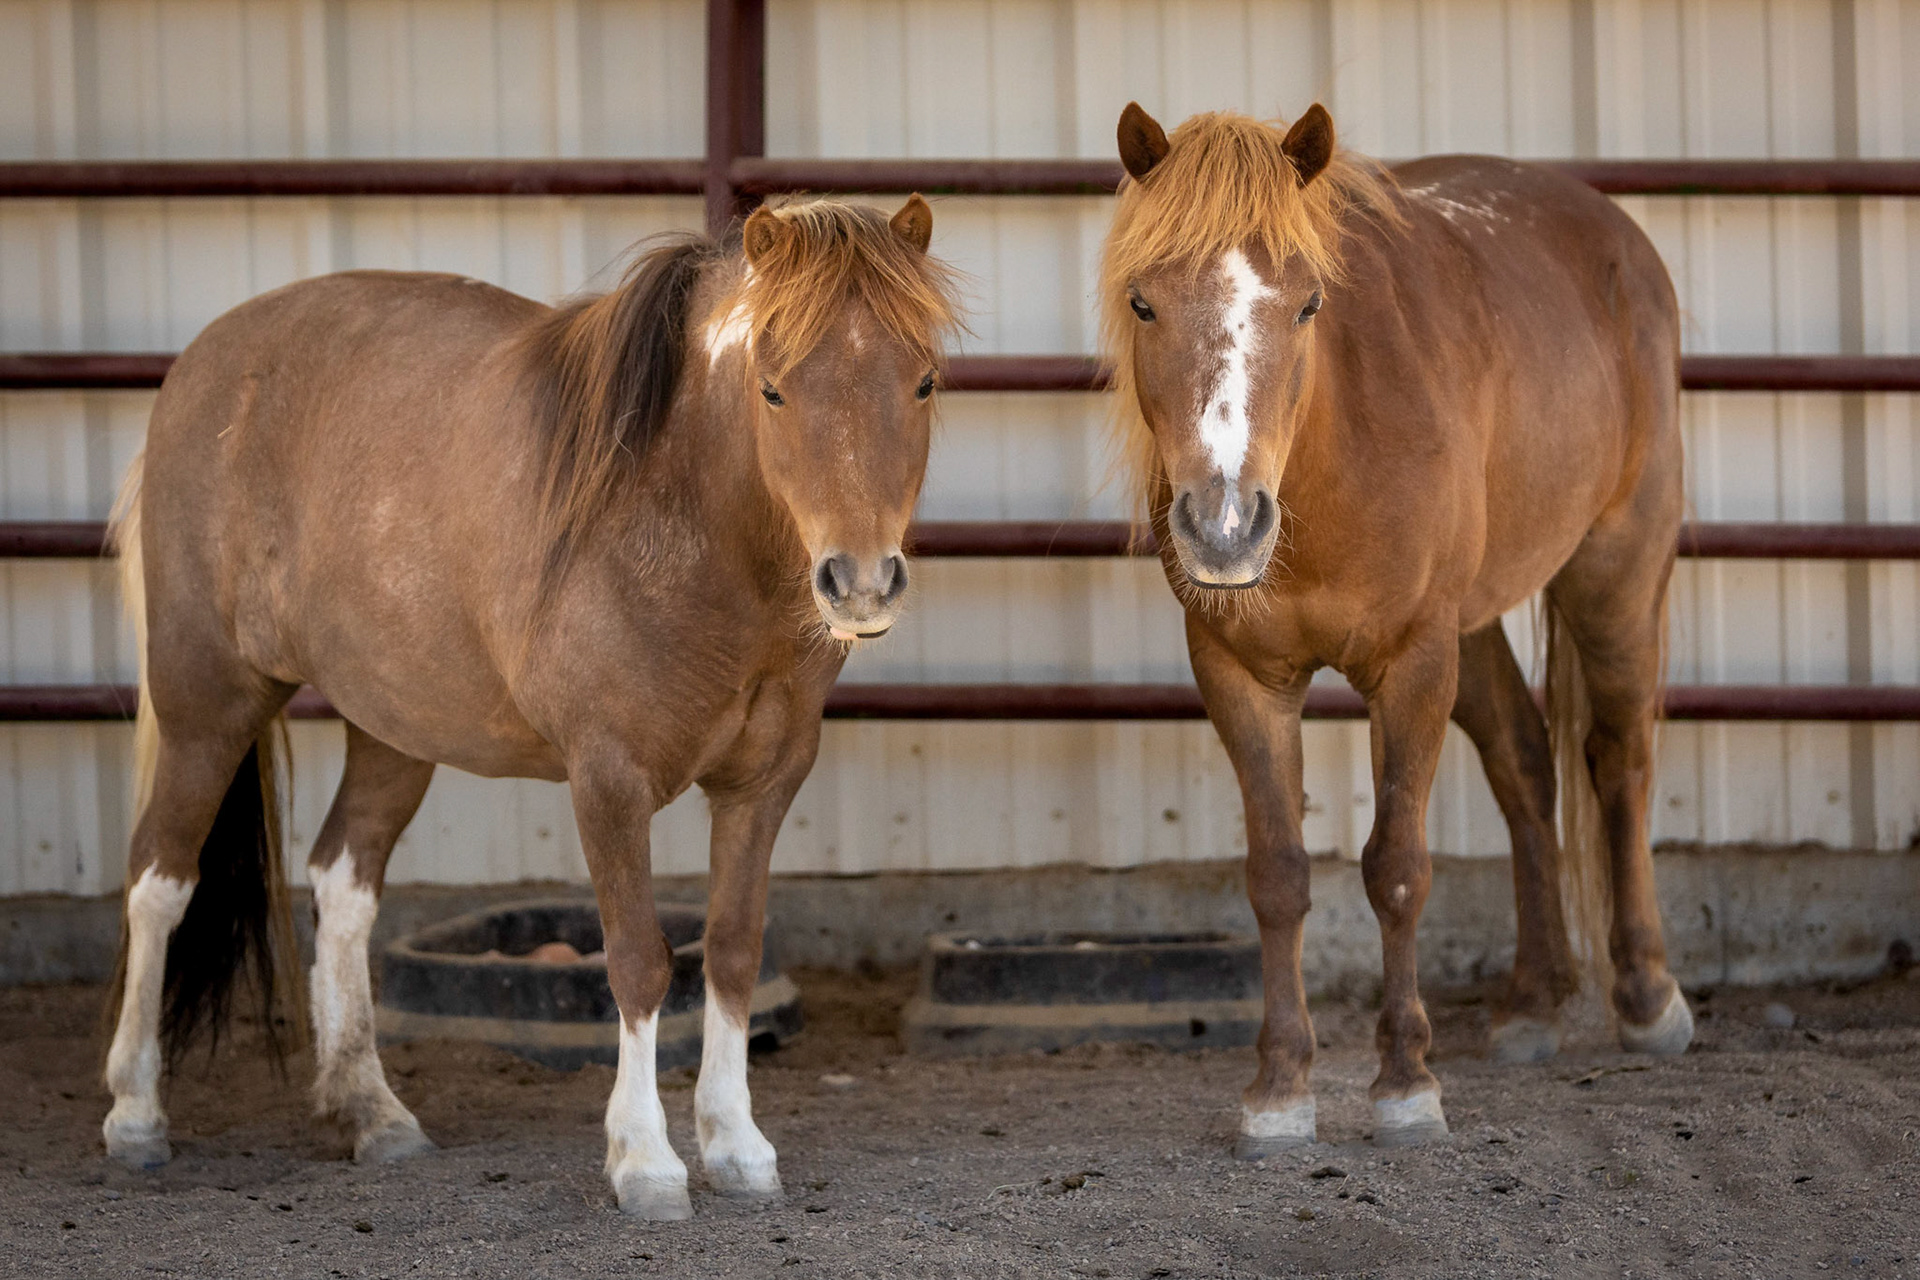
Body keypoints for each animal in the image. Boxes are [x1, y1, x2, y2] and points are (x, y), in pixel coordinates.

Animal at [99, 194, 959, 1219]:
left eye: (923, 382)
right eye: (774, 390)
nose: (859, 583)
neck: (685, 521)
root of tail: (202, 365)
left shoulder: (766, 781)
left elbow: (732, 950)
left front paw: (737, 1145)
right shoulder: (609, 779)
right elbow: (638, 961)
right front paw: (646, 1161)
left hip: (392, 723)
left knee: (343, 882)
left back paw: (372, 1112)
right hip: (208, 697)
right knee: (159, 879)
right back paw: (135, 1115)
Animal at [1101, 103, 1692, 1152]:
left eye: (1307, 304)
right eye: (1143, 304)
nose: (1224, 524)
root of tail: (1610, 228)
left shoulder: (1414, 662)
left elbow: (1399, 868)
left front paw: (1407, 1082)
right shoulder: (1239, 674)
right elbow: (1278, 873)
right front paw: (1281, 1088)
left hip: (1617, 570)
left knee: (1618, 761)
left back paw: (1647, 996)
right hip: (1477, 620)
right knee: (1524, 763)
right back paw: (1534, 1001)